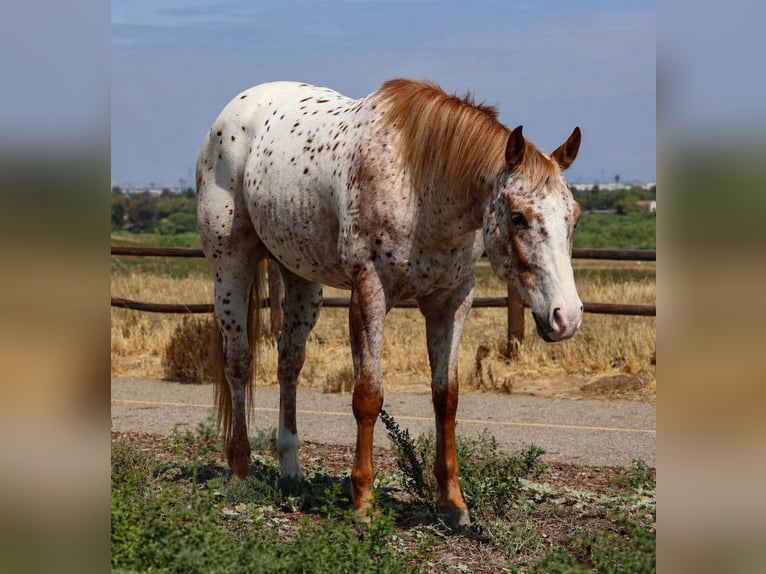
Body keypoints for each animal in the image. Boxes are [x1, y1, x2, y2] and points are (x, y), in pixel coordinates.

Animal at [196, 78, 583, 526]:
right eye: (518, 216)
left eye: (573, 216)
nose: (567, 317)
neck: (422, 187)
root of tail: (236, 110)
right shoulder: (370, 294)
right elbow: (368, 396)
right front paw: (364, 499)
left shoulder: (452, 301)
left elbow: (446, 397)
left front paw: (452, 502)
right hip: (230, 266)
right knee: (239, 362)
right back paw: (240, 467)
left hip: (300, 279)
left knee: (288, 362)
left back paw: (292, 470)